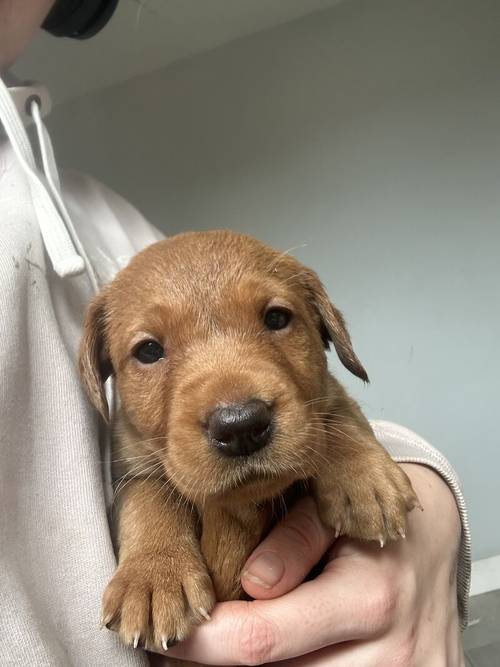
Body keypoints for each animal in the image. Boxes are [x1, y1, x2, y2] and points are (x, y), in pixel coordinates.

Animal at [80, 230, 420, 656]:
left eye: (276, 318)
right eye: (148, 350)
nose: (240, 426)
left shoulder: (324, 397)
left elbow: (337, 412)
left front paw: (365, 481)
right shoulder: (131, 465)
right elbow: (150, 497)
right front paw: (154, 575)